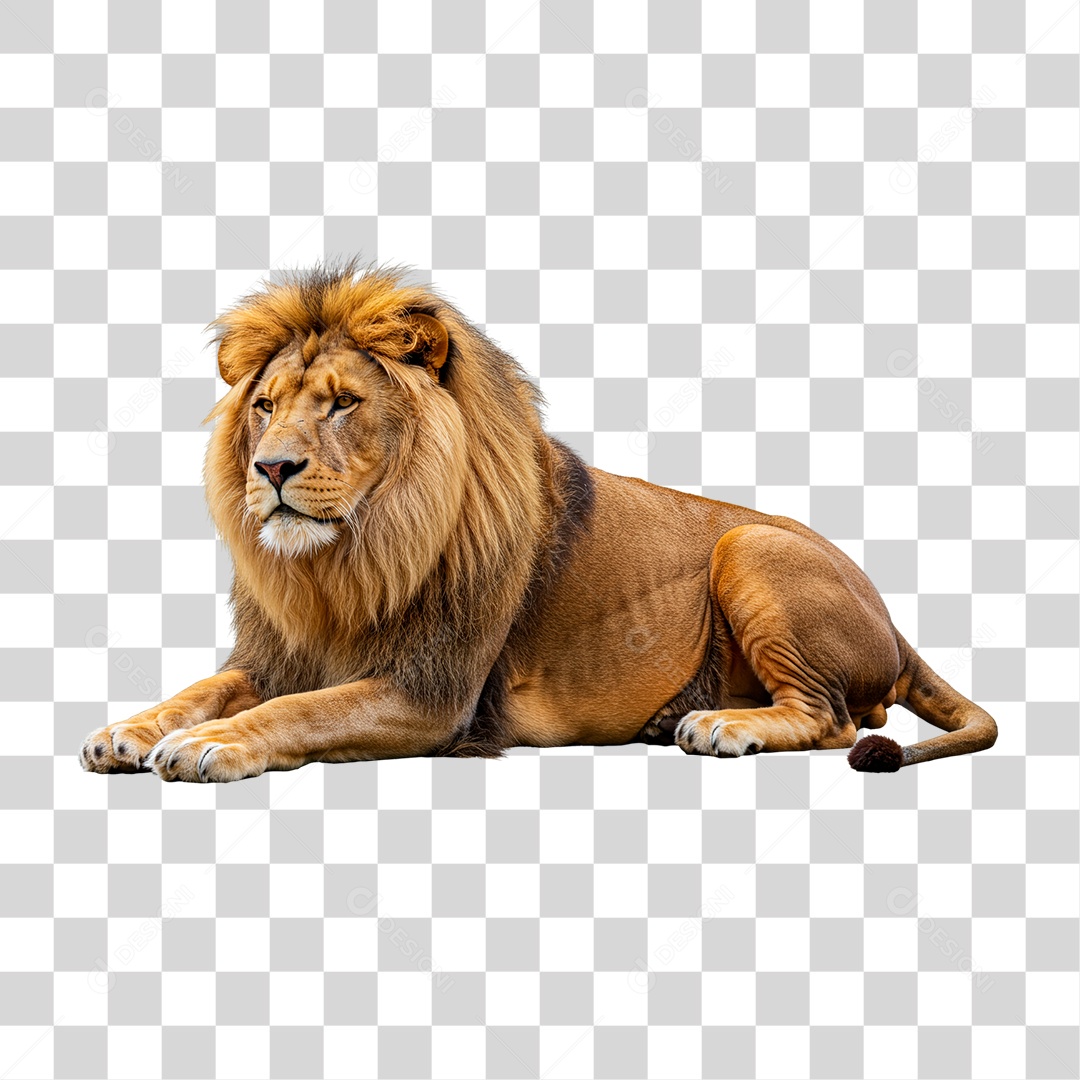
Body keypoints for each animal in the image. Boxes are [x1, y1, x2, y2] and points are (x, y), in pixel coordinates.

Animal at [80, 260, 997, 782]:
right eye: (265, 407)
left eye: (342, 404)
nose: (270, 469)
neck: (348, 560)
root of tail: (894, 625)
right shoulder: (277, 653)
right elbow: (203, 690)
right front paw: (126, 731)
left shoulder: (432, 692)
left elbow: (295, 714)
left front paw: (209, 745)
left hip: (750, 544)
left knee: (838, 718)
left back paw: (719, 725)